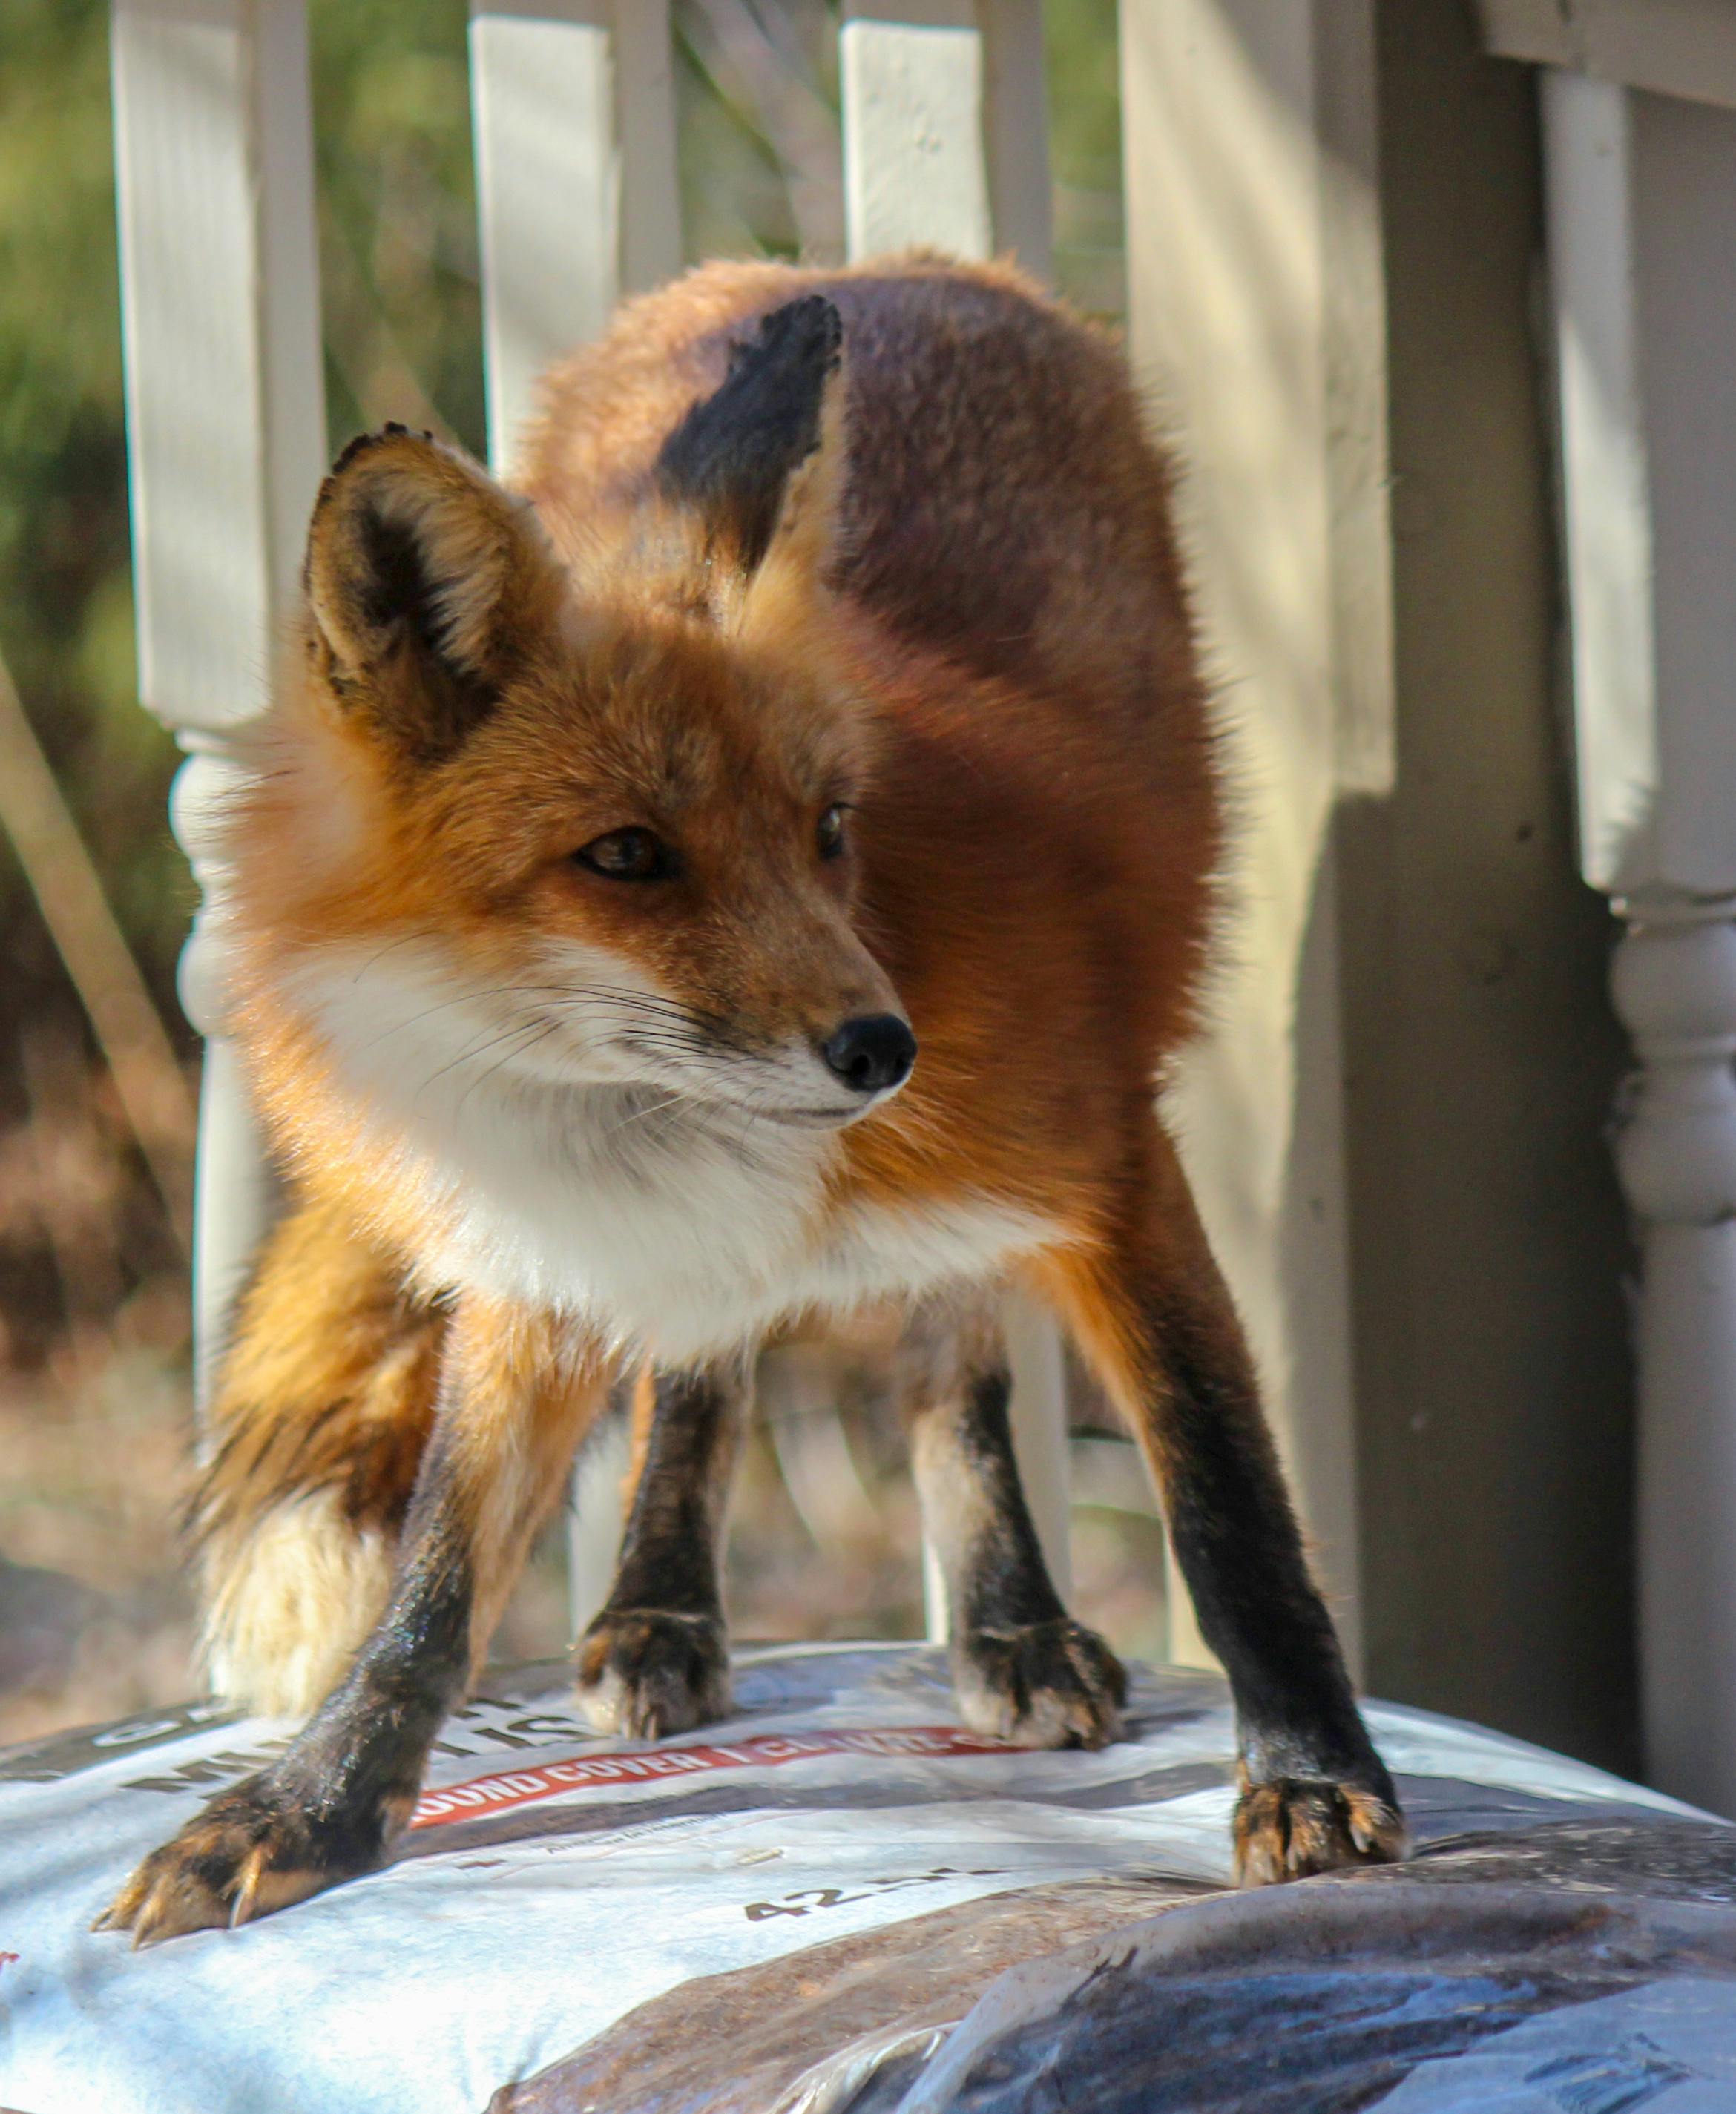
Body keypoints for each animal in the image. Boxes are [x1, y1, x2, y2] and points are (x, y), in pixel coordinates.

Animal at [101, 255, 1404, 1936]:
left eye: (830, 826)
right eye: (627, 856)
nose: (883, 1051)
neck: (622, 1113)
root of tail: (879, 266)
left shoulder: (1111, 1162)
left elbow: (1226, 1507)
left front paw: (1310, 1774)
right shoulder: (536, 1264)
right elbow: (438, 1579)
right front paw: (314, 1805)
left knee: (949, 1366)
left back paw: (1010, 1621)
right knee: (707, 1377)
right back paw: (663, 1601)